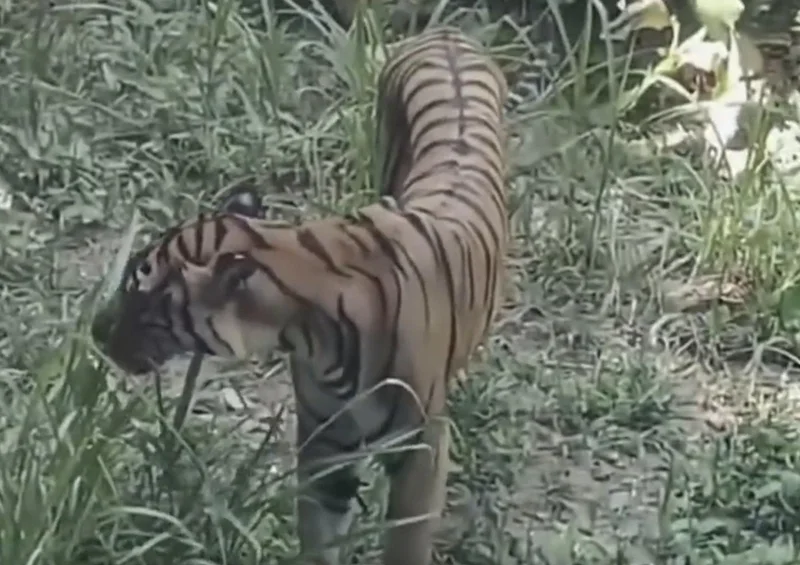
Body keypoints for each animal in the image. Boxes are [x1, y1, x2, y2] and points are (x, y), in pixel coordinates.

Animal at [95, 26, 509, 565]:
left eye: (143, 302)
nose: (96, 332)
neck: (311, 337)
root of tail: (445, 32)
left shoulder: (421, 450)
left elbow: (405, 541)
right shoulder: (324, 445)